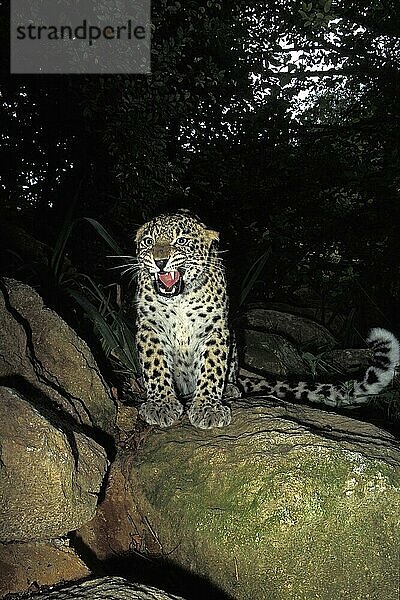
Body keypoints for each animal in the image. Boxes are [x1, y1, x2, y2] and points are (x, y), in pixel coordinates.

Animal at [133, 209, 398, 428]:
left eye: (181, 241)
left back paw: (230, 389)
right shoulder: (149, 327)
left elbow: (212, 366)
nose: (159, 262)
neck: (179, 298)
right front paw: (161, 404)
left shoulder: (216, 329)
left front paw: (208, 407)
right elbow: (155, 365)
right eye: (148, 242)